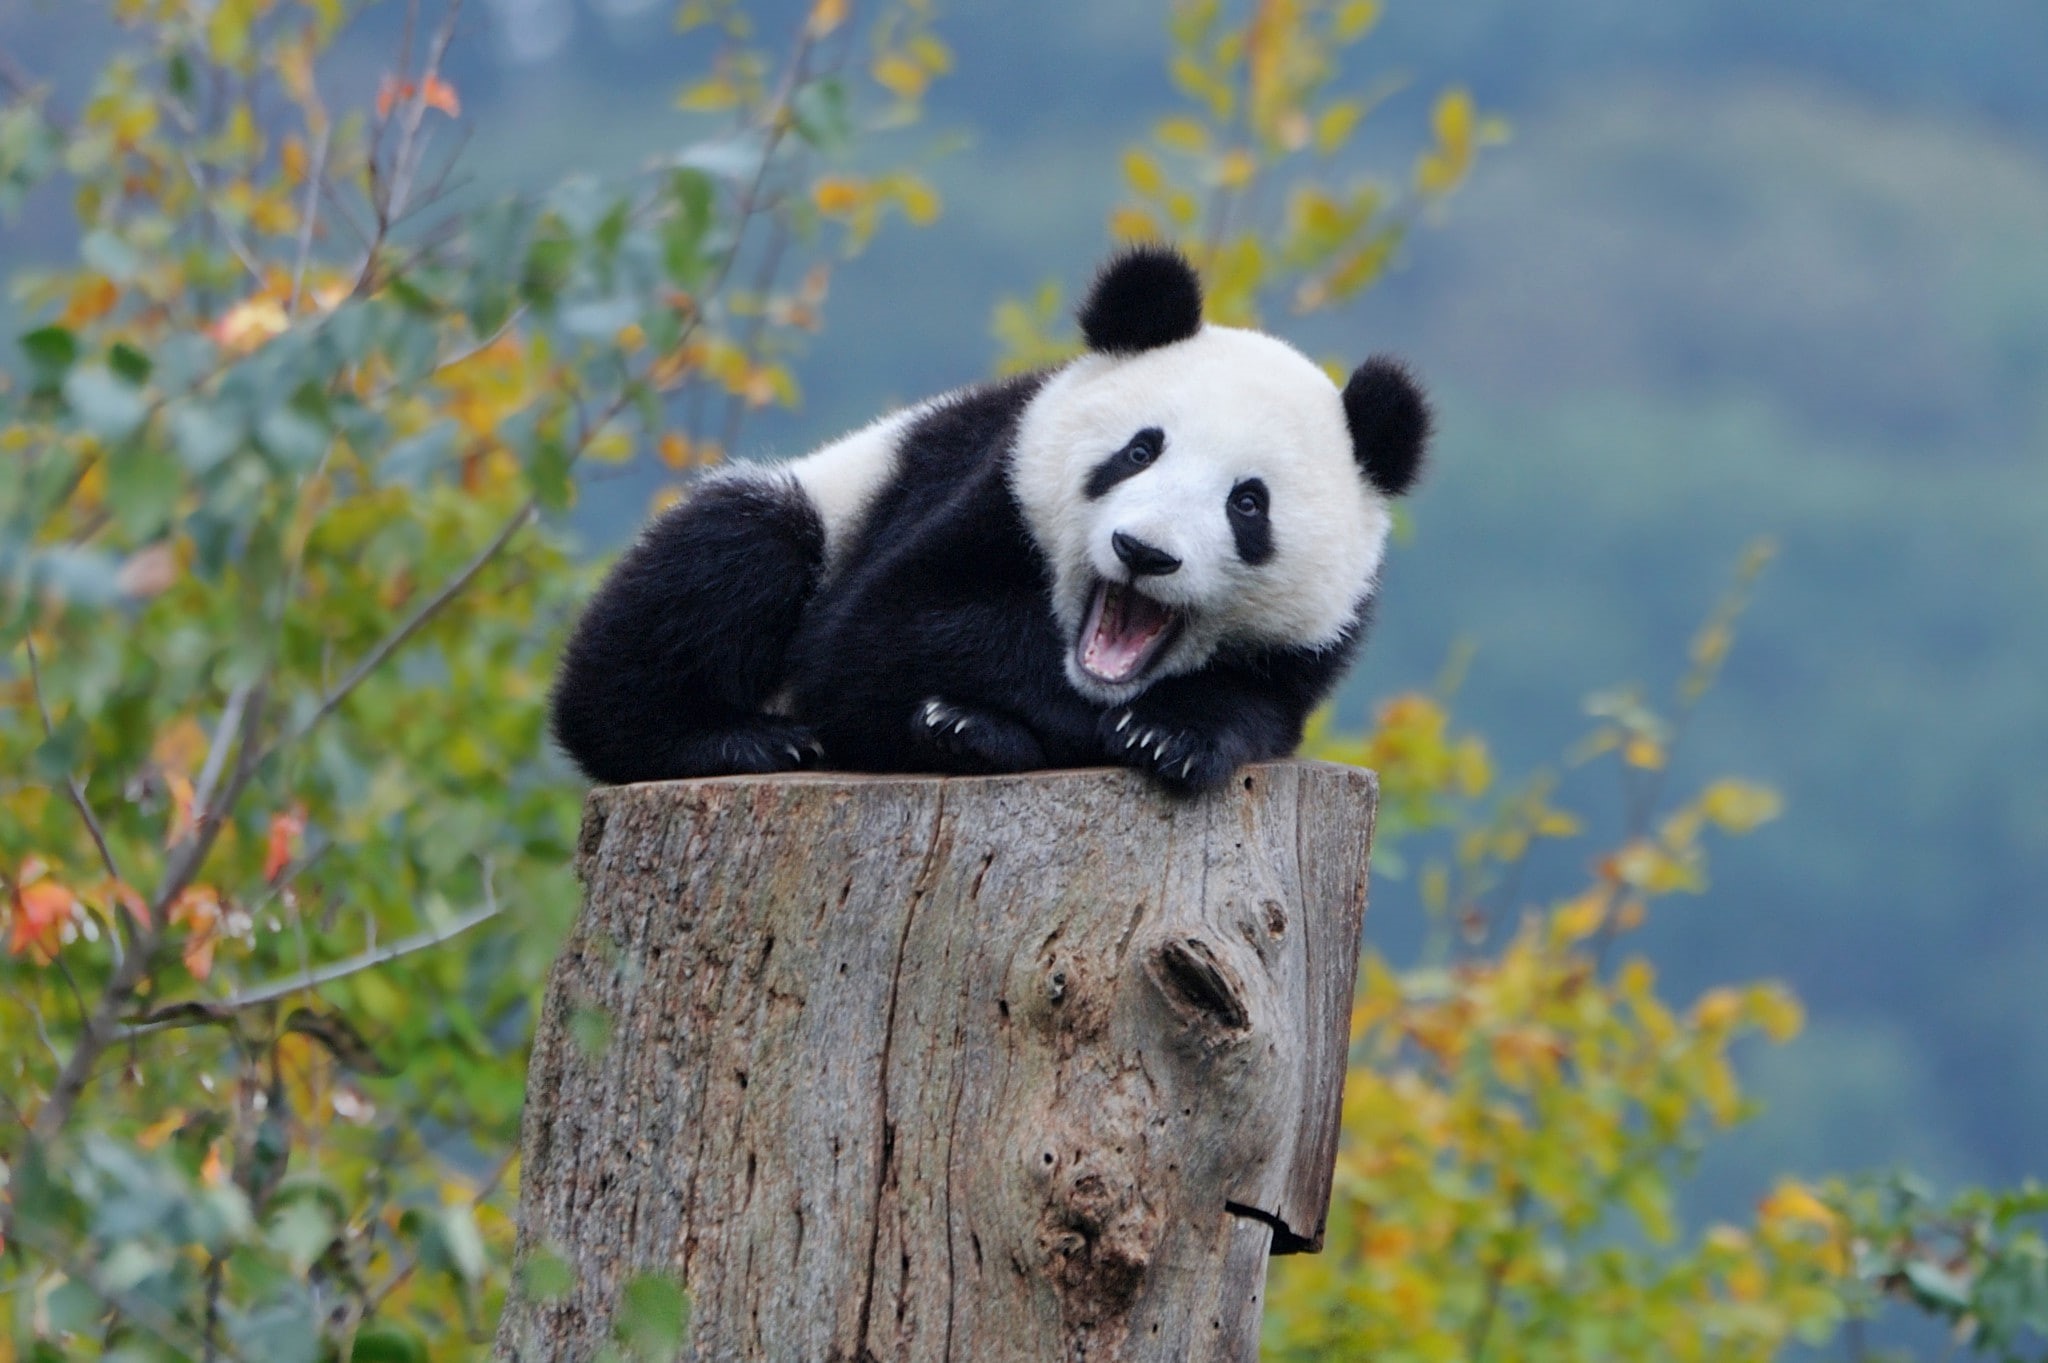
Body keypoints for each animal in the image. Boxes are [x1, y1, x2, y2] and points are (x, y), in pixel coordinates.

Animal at [550, 245, 1429, 796]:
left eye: (1248, 502)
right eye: (1140, 450)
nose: (1143, 551)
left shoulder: (1313, 643)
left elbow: (1257, 708)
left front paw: (1169, 737)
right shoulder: (982, 486)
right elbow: (879, 632)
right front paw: (1018, 718)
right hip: (818, 506)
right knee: (730, 556)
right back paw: (741, 739)